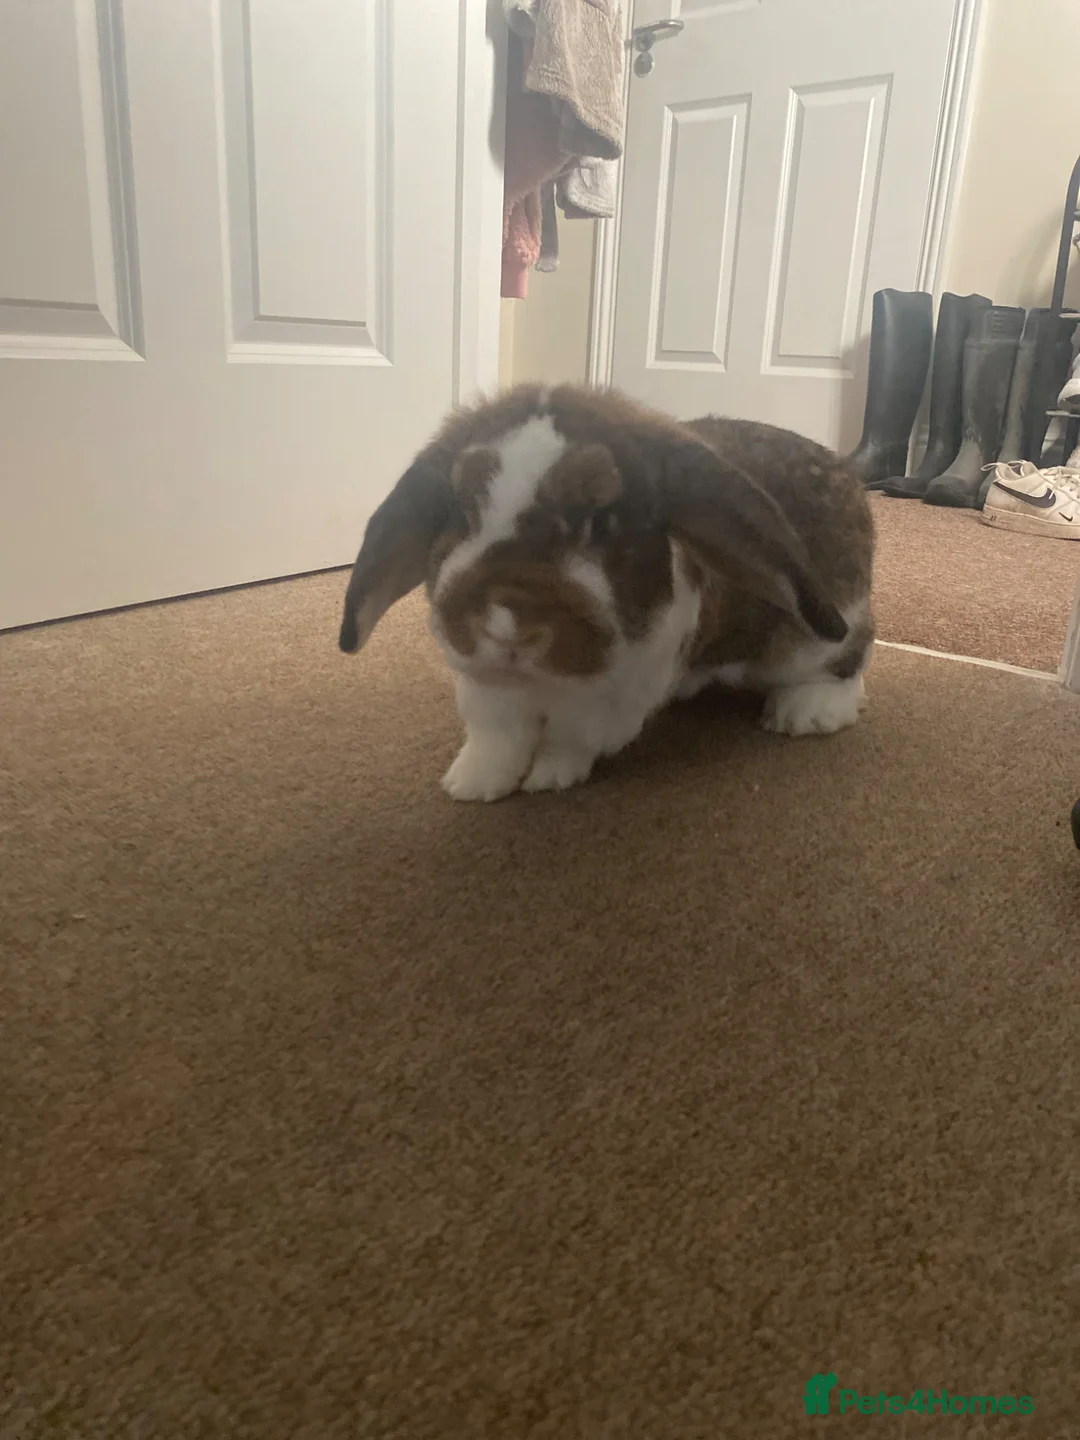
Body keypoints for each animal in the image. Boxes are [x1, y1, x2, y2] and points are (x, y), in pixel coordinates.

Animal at [338, 384, 875, 801]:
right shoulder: (487, 692)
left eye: (601, 523)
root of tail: (845, 471)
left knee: (848, 665)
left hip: (816, 638)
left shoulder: (609, 699)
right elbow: (496, 740)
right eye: (461, 514)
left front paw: (548, 778)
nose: (507, 626)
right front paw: (470, 784)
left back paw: (805, 714)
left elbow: (569, 741)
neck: (541, 681)